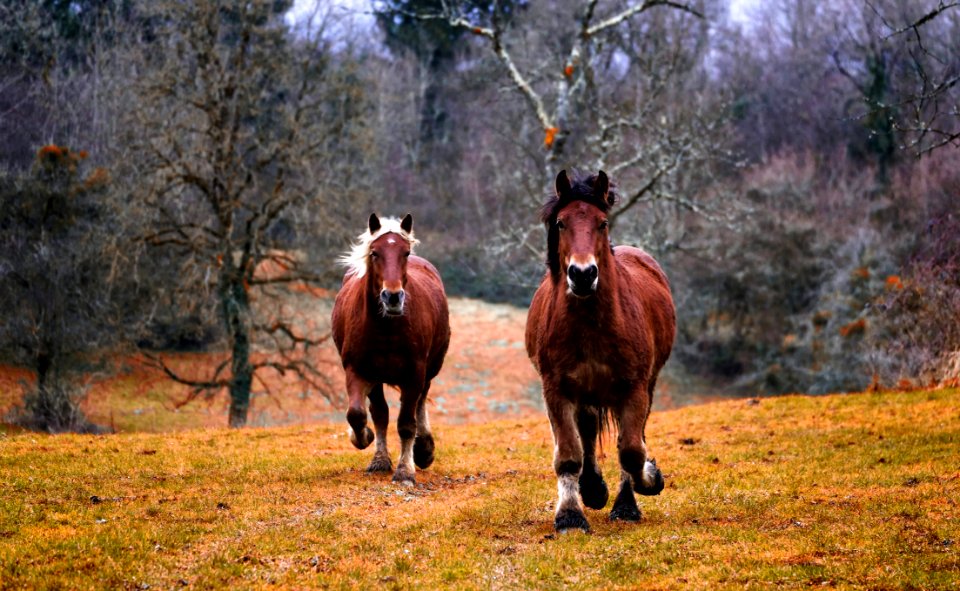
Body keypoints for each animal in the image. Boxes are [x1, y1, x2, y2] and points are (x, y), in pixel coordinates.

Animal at [332, 213, 452, 486]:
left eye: (405, 253)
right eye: (374, 253)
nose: (393, 297)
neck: (385, 328)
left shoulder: (414, 374)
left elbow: (406, 423)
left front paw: (406, 470)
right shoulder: (357, 370)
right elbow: (359, 414)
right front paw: (365, 440)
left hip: (429, 370)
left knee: (419, 403)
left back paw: (423, 449)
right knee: (380, 413)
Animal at [524, 170, 676, 532]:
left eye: (602, 223)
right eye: (561, 223)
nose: (582, 274)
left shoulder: (634, 388)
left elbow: (632, 451)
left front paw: (648, 482)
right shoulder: (557, 390)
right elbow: (569, 454)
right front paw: (570, 515)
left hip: (642, 387)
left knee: (628, 438)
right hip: (585, 393)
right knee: (588, 433)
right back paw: (592, 488)